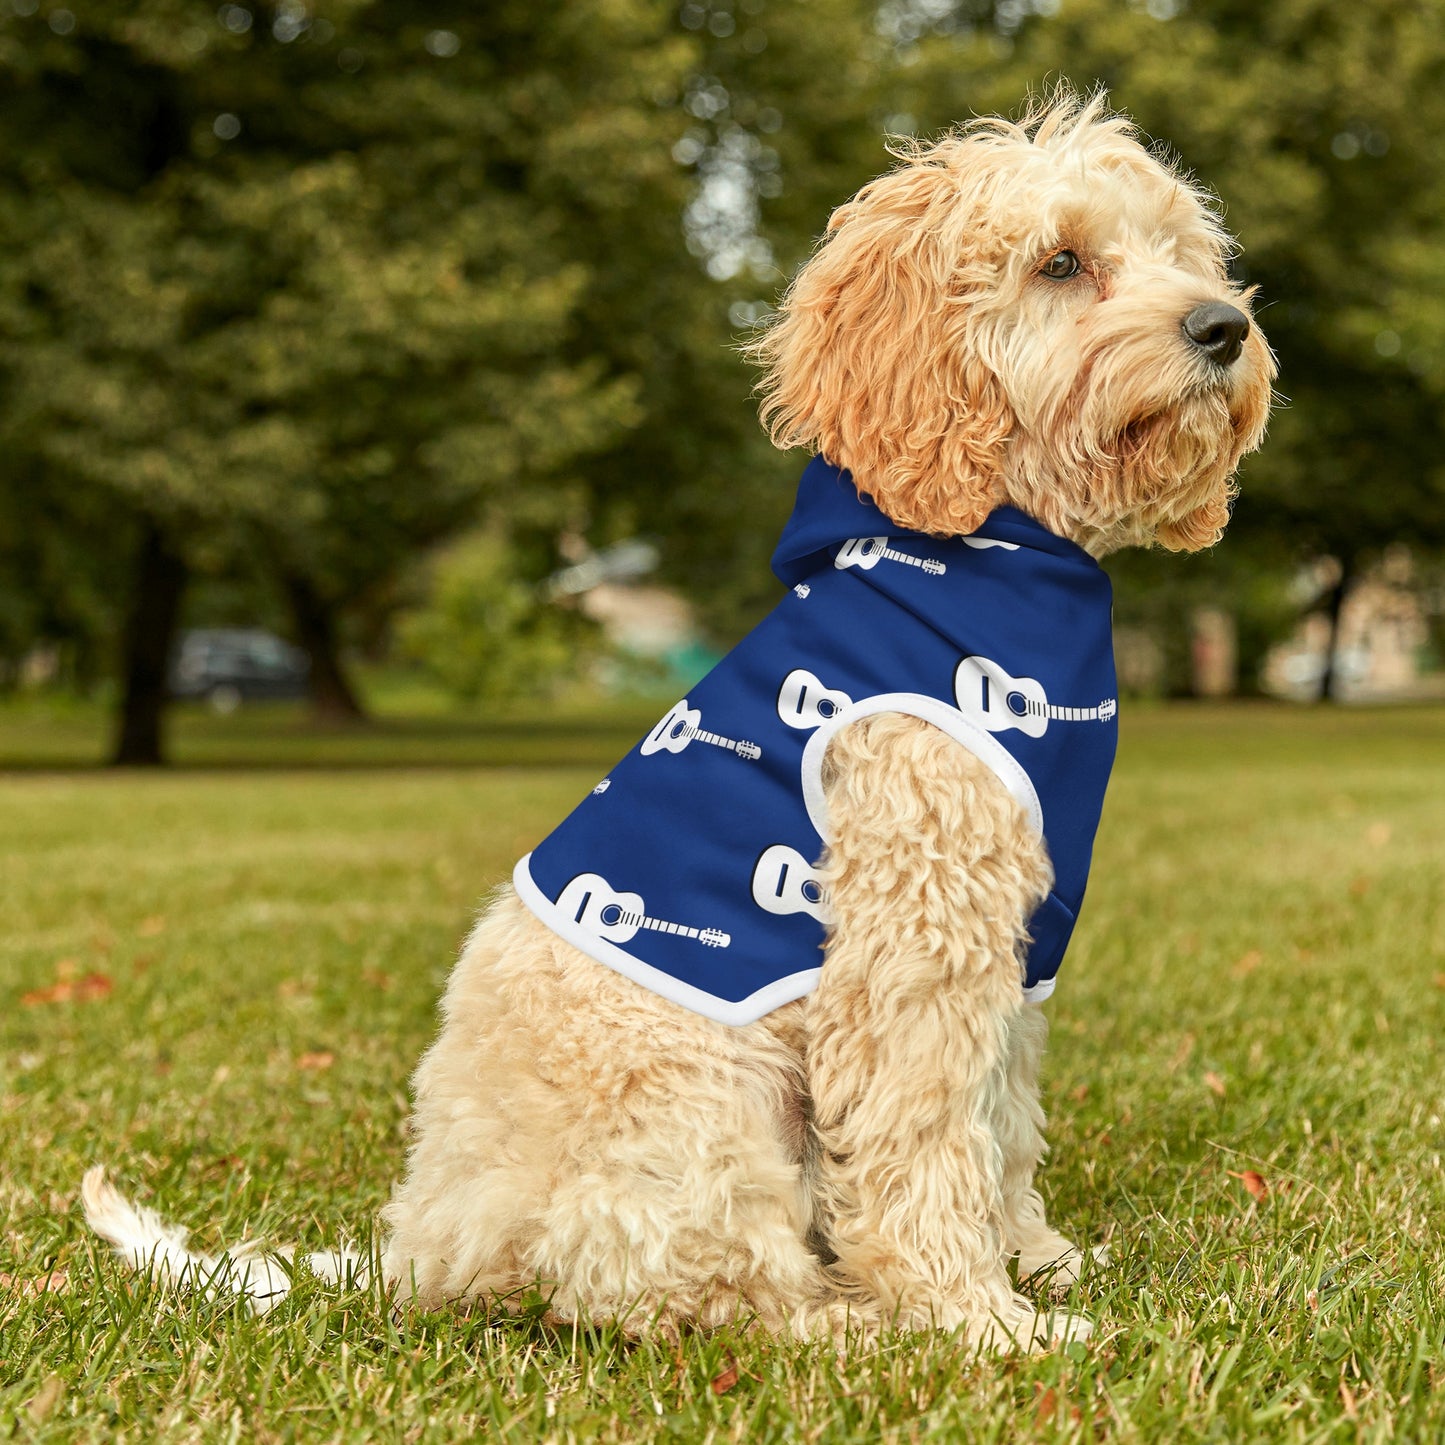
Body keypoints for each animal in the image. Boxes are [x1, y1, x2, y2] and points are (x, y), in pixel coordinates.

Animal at [84, 93, 1271, 1352]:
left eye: (1180, 252)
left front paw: (1034, 1260)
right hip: (703, 1099)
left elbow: (998, 1120)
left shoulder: (1013, 943)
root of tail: (424, 1246)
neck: (992, 554)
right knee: (699, 1290)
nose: (1222, 327)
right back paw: (853, 1322)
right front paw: (976, 1318)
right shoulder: (912, 939)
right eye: (1059, 262)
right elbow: (923, 1137)